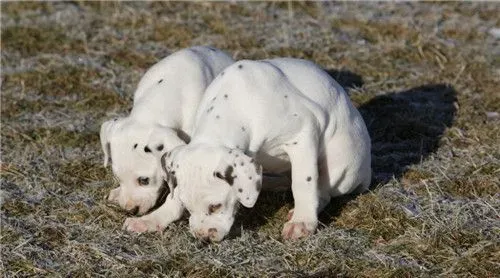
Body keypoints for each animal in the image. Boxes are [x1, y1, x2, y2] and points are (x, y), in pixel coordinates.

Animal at [125, 57, 372, 240]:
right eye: (188, 207)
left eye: (215, 207)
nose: (203, 237)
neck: (237, 105)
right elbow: (173, 197)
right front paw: (152, 219)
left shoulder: (302, 135)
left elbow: (303, 181)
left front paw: (302, 222)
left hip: (340, 164)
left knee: (324, 190)